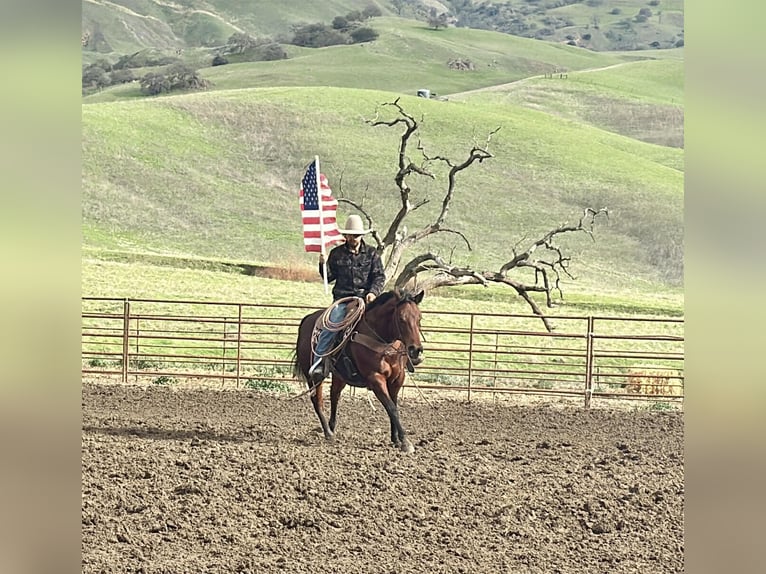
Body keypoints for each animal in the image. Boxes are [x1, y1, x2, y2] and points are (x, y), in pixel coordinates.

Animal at [293, 289, 425, 453]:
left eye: (419, 318)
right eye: (401, 318)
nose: (416, 350)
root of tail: (307, 319)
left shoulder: (397, 379)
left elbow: (394, 406)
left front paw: (395, 438)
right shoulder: (375, 379)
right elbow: (391, 407)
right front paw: (405, 442)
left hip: (340, 376)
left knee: (334, 395)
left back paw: (331, 427)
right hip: (312, 376)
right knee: (317, 400)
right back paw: (328, 433)